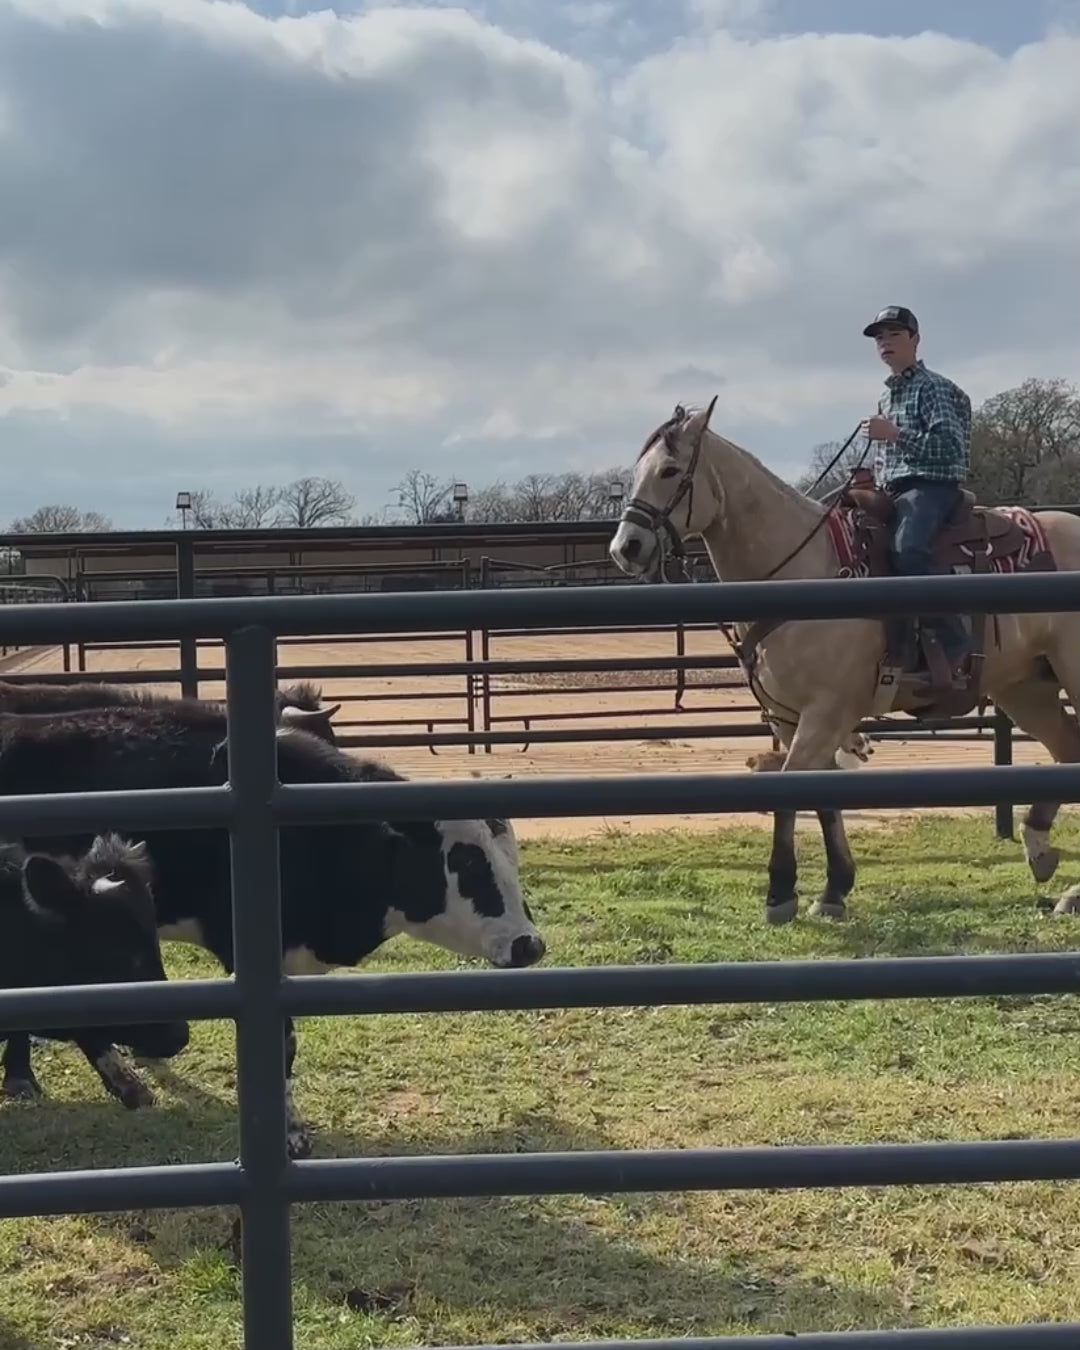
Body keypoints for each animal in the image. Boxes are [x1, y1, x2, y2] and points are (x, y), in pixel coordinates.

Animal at [608, 399, 1080, 923]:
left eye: (670, 470)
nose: (625, 548)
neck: (801, 571)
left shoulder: (826, 713)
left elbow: (790, 791)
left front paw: (780, 893)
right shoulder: (789, 716)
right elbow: (824, 798)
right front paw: (833, 890)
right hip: (1026, 687)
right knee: (1068, 750)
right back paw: (1040, 850)